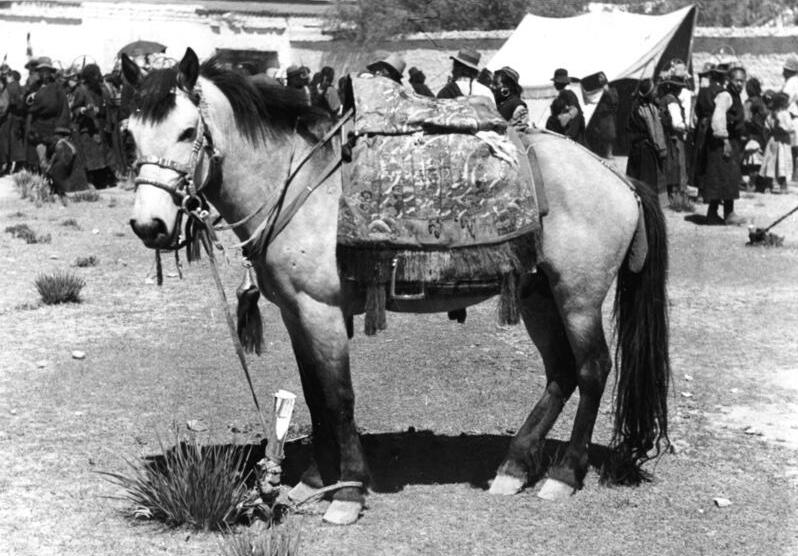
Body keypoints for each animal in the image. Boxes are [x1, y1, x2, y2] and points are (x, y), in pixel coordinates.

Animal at [124, 49, 670, 525]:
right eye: (130, 136)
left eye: (187, 131)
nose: (149, 225)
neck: (301, 185)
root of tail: (617, 179)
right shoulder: (297, 313)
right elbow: (313, 395)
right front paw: (312, 481)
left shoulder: (321, 311)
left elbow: (339, 398)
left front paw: (347, 494)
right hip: (539, 296)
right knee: (561, 373)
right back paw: (513, 468)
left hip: (578, 297)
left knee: (593, 369)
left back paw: (564, 475)